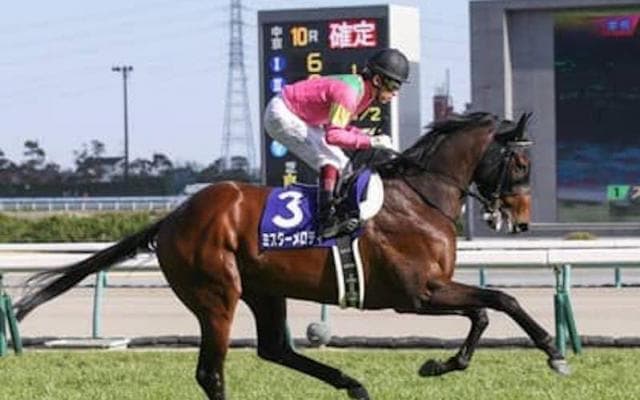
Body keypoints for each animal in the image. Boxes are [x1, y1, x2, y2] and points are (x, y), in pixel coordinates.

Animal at [13, 112, 569, 400]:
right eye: (521, 163)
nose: (521, 220)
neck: (419, 198)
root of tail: (171, 218)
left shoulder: (429, 291)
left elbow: (486, 310)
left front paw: (443, 363)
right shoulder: (417, 294)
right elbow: (499, 302)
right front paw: (553, 351)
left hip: (264, 290)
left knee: (274, 349)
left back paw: (352, 385)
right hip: (217, 294)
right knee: (212, 372)